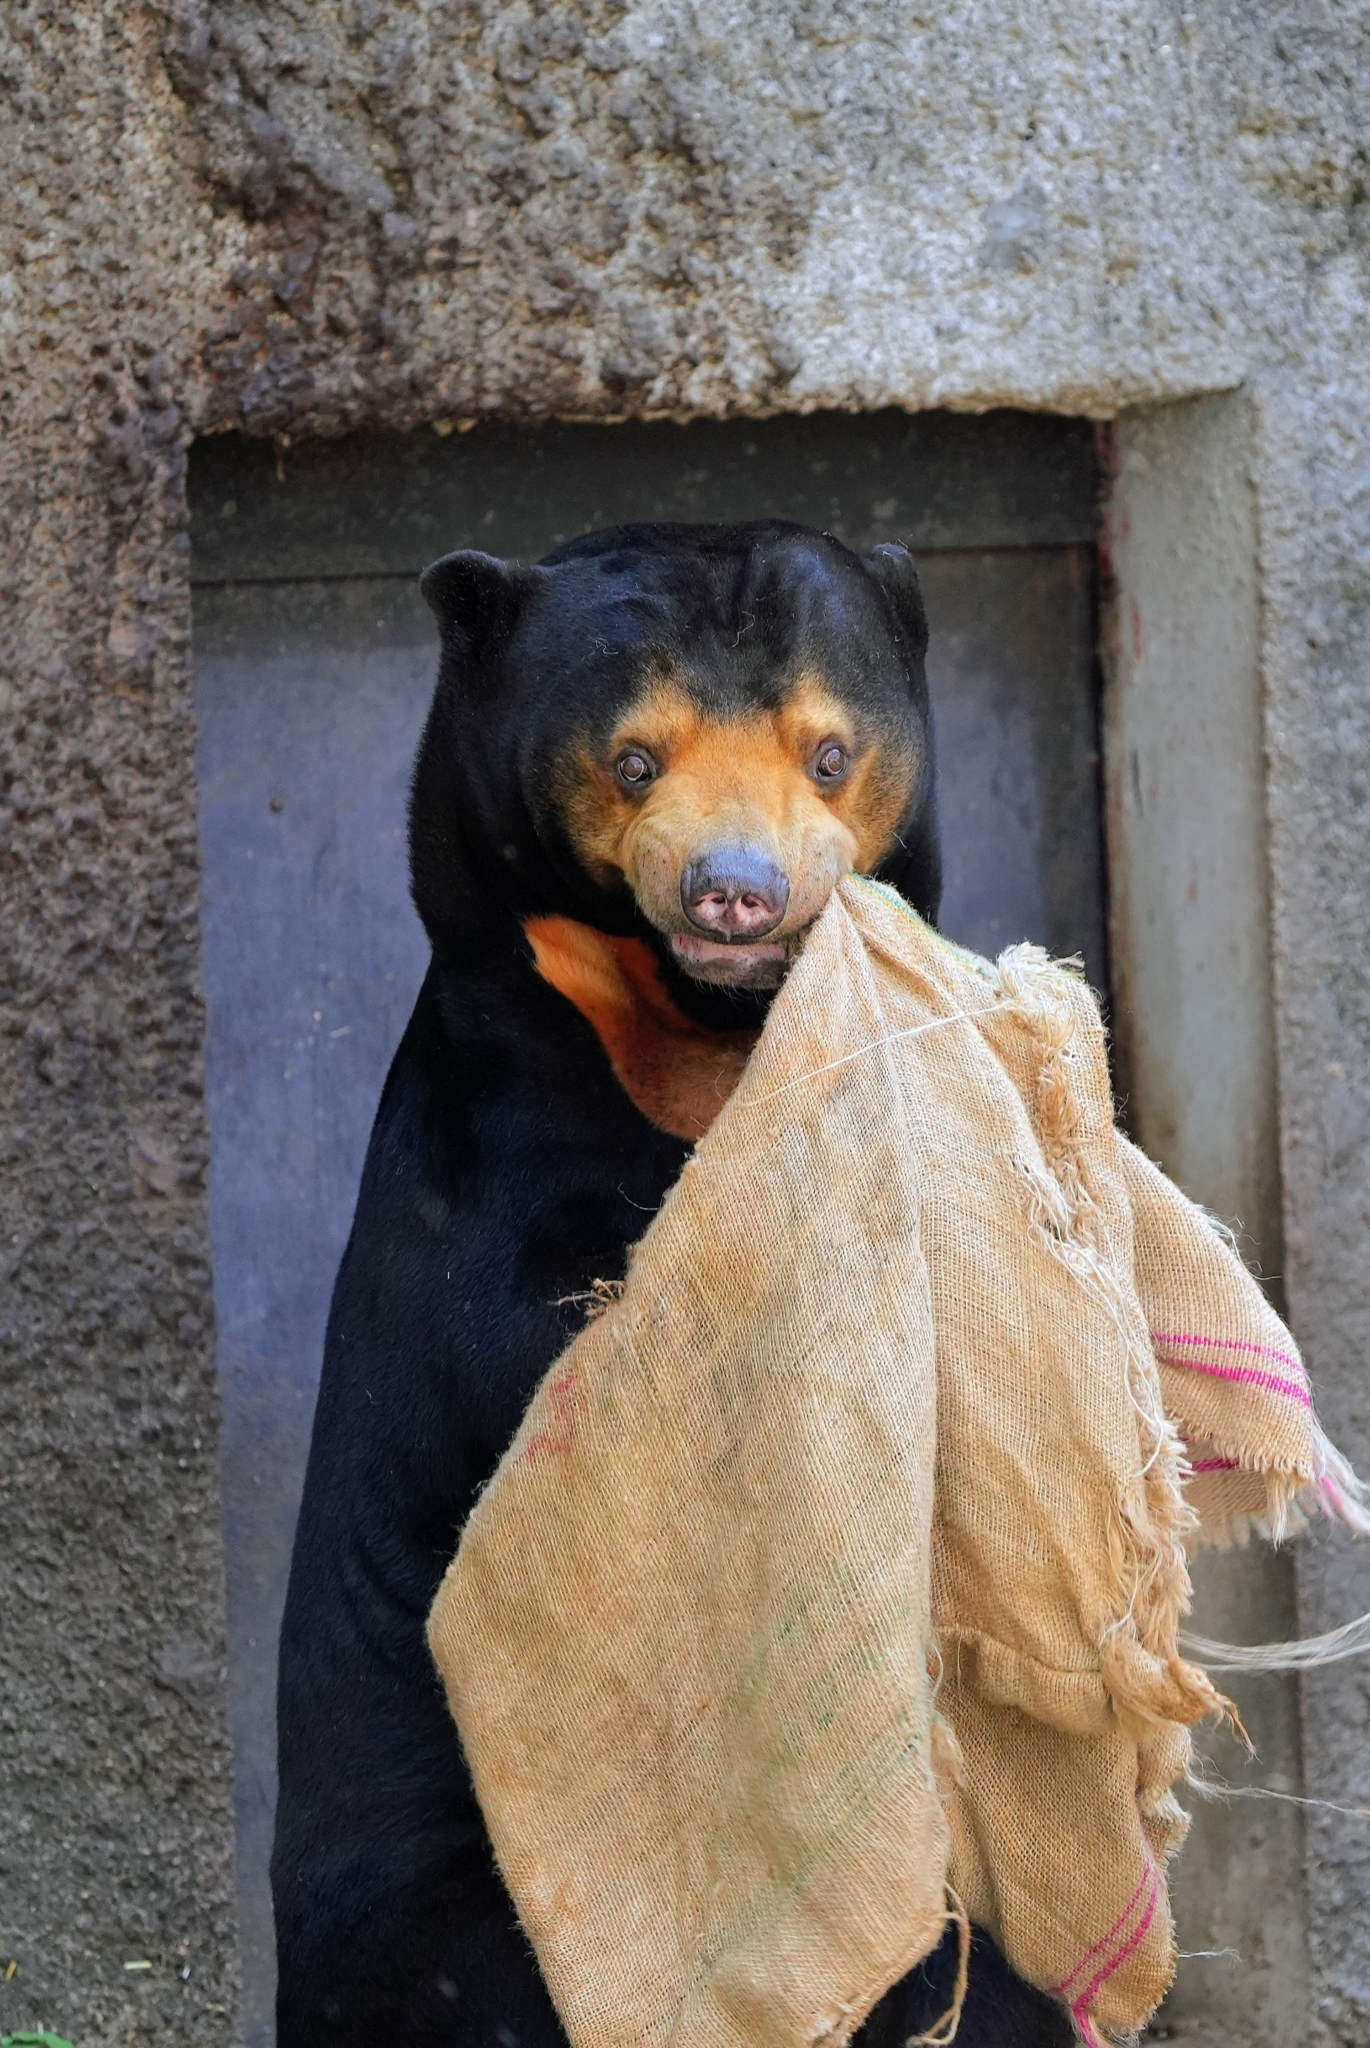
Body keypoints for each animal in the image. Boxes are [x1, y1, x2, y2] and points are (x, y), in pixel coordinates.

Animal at [272, 519, 1074, 2048]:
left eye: (826, 751)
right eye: (633, 757)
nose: (734, 890)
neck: (695, 1033)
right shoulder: (494, 1167)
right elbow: (572, 1353)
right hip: (439, 1896)